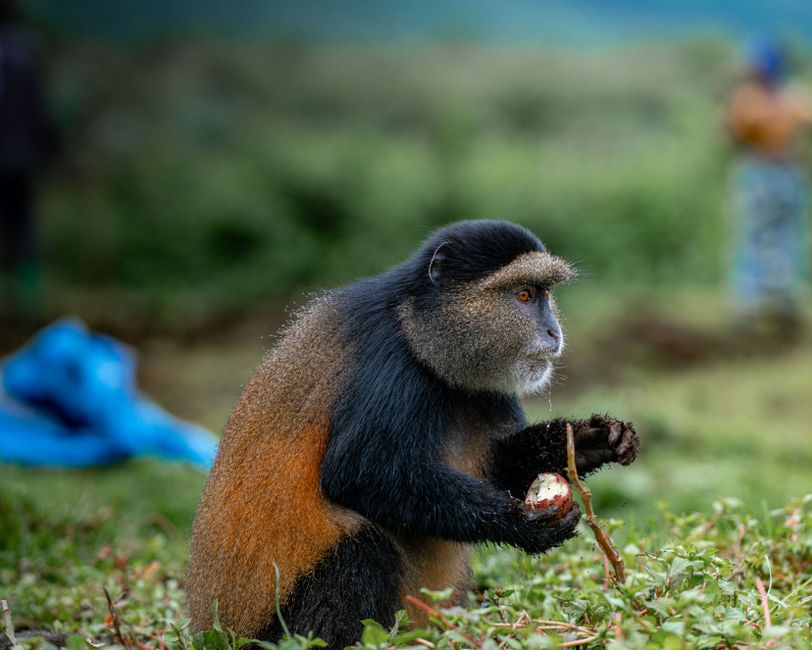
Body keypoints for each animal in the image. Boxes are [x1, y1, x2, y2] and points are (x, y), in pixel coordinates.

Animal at [186, 219, 639, 648]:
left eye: (544, 294)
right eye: (524, 295)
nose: (553, 332)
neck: (416, 326)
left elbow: (498, 467)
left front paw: (591, 440)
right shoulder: (389, 363)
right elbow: (359, 474)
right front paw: (523, 525)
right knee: (361, 549)